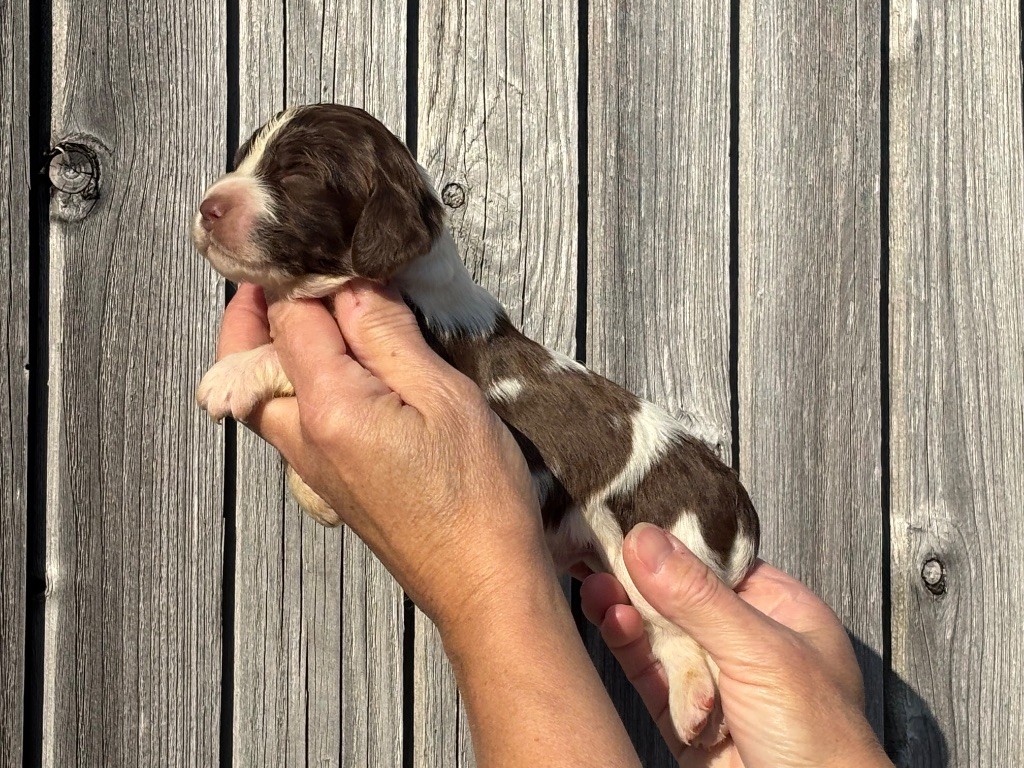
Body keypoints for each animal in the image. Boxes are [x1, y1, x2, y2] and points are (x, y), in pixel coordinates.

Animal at [190, 105, 761, 749]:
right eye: (243, 160)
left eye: (297, 175)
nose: (209, 205)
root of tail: (734, 501)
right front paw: (314, 495)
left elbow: (288, 358)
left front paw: (230, 375)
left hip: (659, 545)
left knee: (693, 641)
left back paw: (696, 707)